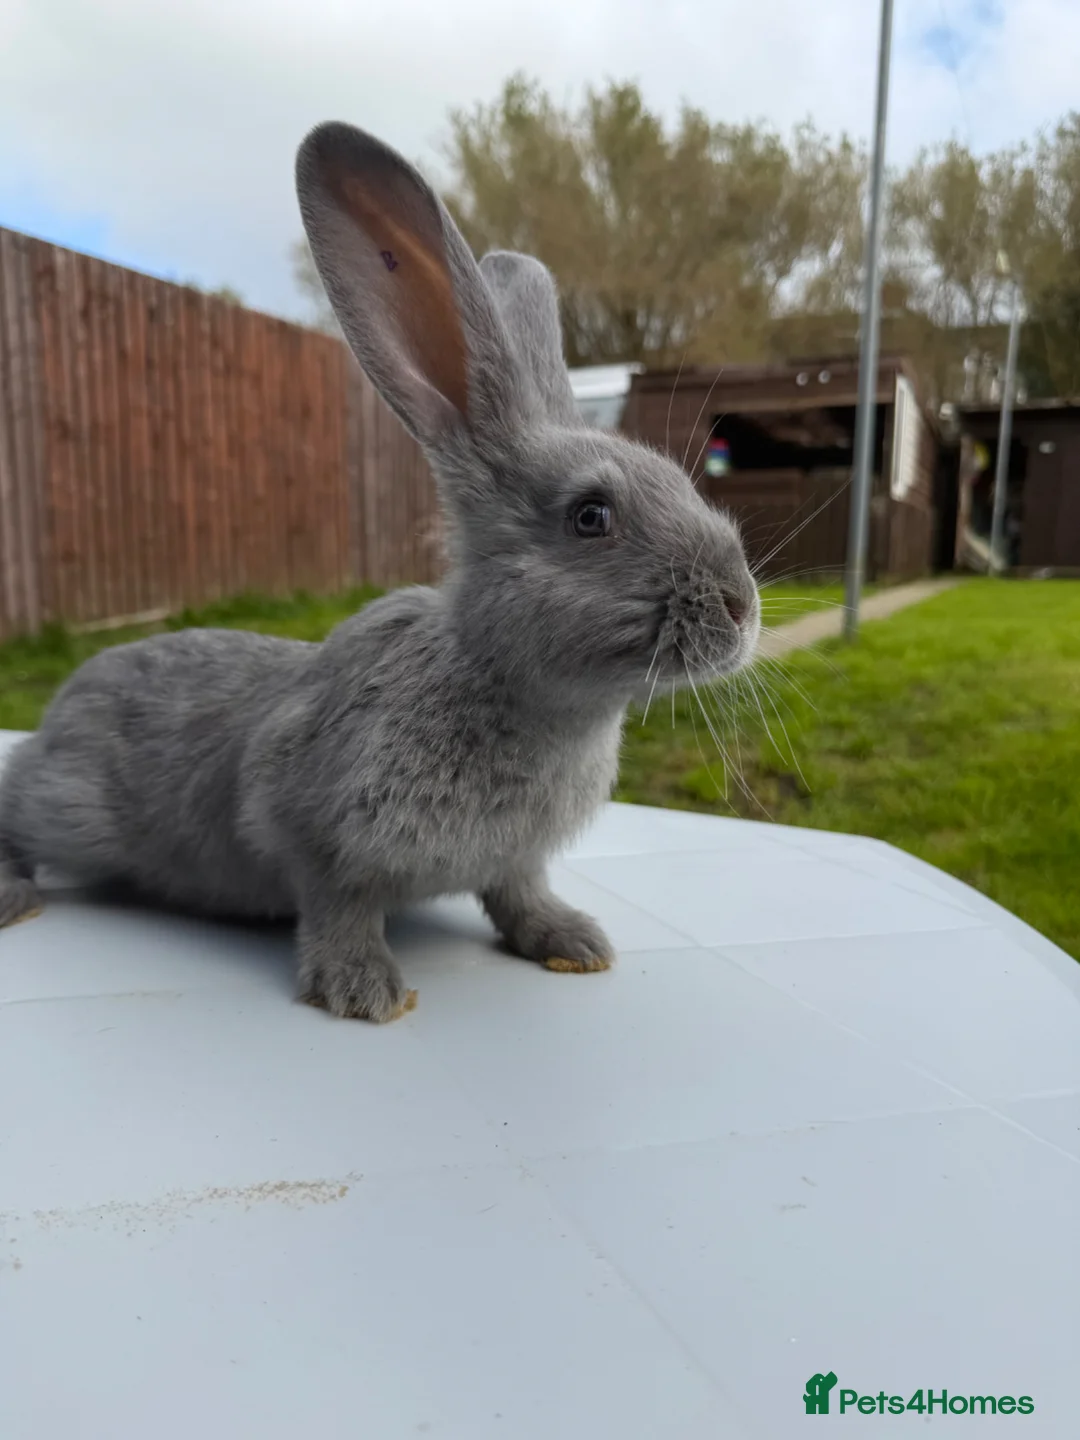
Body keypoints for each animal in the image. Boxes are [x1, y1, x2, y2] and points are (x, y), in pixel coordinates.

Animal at [0, 120, 761, 1022]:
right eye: (590, 516)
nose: (742, 607)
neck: (499, 679)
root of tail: (64, 702)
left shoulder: (517, 859)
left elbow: (518, 892)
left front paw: (574, 943)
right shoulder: (309, 825)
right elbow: (339, 903)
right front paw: (365, 991)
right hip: (67, 806)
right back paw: (12, 897)